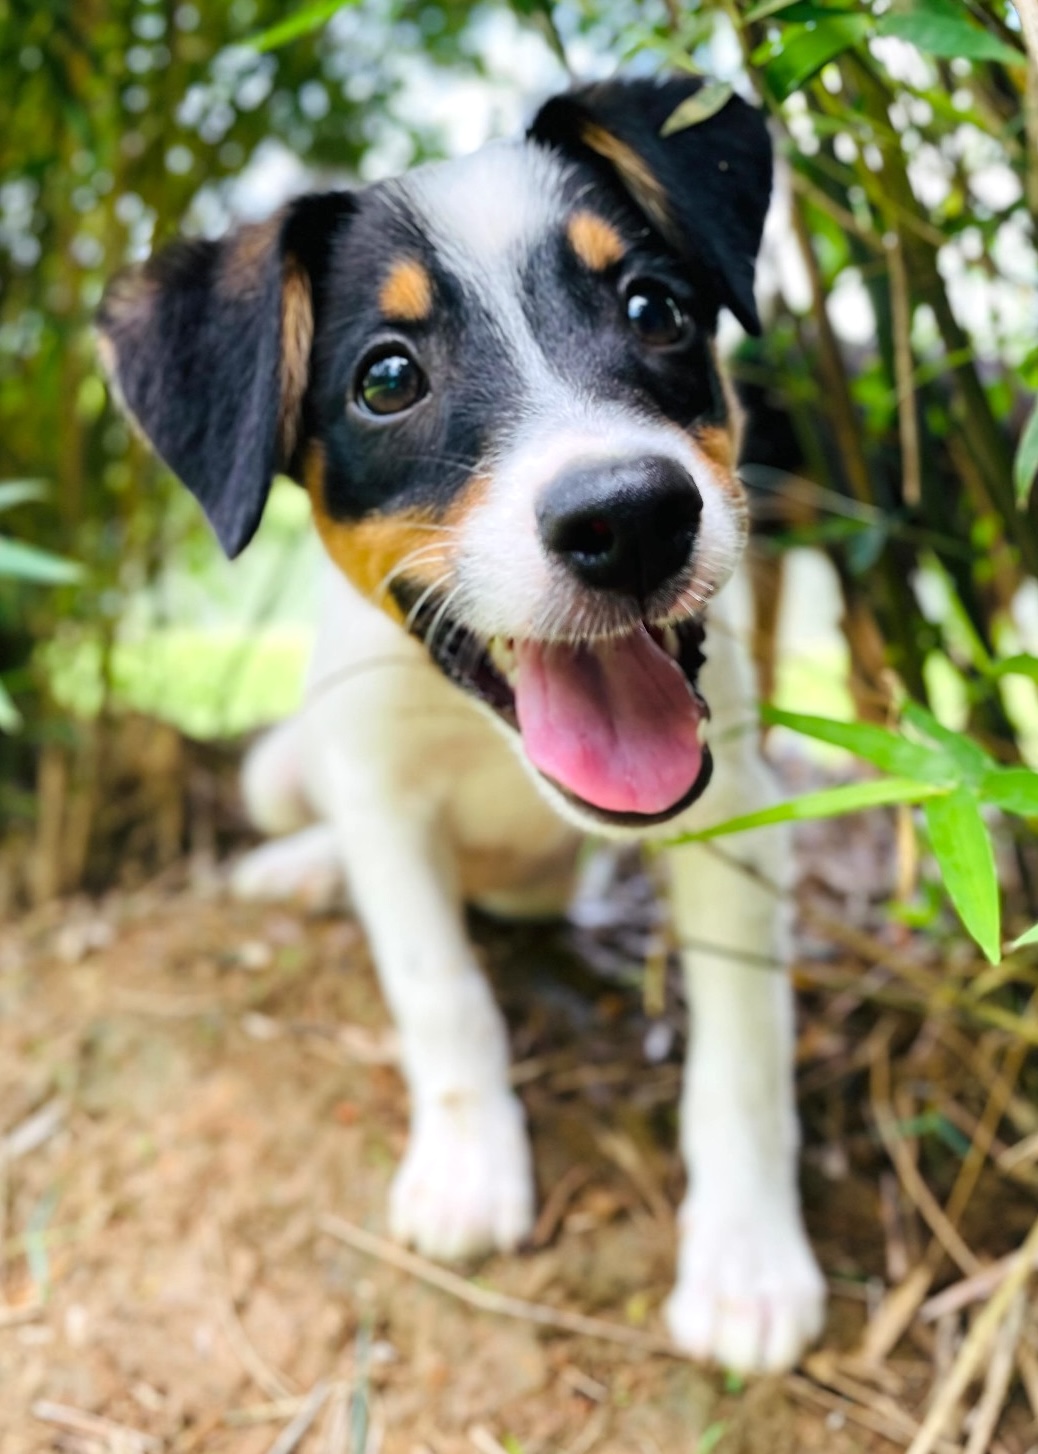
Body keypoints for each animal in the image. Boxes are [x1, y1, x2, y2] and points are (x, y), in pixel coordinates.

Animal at [97, 76, 825, 1372]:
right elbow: (441, 991)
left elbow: (743, 1049)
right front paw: (467, 1171)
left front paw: (746, 1261)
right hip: (284, 765)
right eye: (387, 378)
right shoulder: (381, 800)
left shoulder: (737, 812)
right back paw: (298, 868)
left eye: (655, 308)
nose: (631, 519)